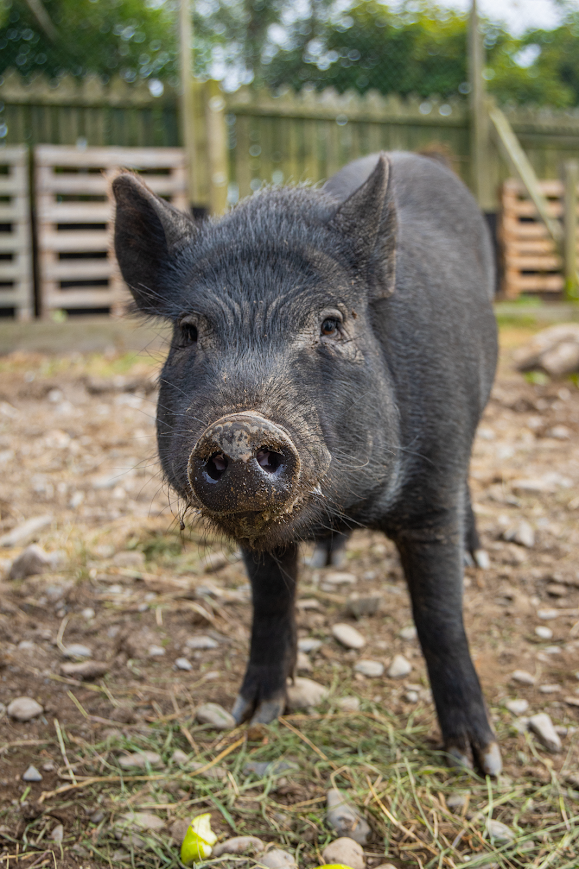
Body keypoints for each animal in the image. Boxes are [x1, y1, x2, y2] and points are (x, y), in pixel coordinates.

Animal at [112, 151, 501, 776]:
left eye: (331, 323)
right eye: (188, 331)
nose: (240, 429)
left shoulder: (434, 492)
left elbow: (440, 618)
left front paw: (478, 760)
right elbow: (271, 601)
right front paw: (253, 715)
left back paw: (476, 556)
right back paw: (327, 557)